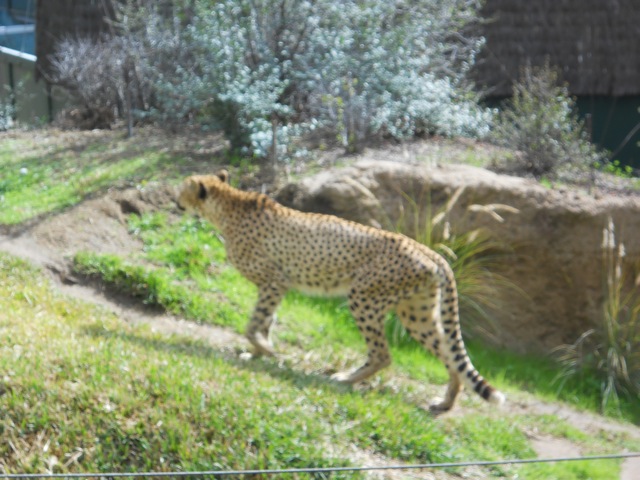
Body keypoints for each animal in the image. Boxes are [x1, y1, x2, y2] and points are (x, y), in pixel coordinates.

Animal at [176, 170, 505, 412]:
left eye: (182, 191)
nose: (173, 199)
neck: (229, 206)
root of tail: (428, 249)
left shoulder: (274, 282)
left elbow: (254, 323)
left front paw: (264, 349)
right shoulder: (277, 286)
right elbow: (265, 321)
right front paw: (258, 353)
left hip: (364, 297)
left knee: (383, 354)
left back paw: (345, 379)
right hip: (416, 313)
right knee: (449, 352)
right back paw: (445, 403)